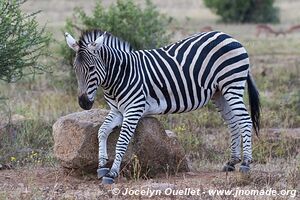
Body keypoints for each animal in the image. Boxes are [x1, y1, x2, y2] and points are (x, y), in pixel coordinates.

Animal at [64, 29, 258, 184]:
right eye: (75, 68)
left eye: (91, 68)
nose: (84, 103)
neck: (120, 76)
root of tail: (228, 36)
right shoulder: (117, 111)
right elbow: (102, 131)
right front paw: (102, 165)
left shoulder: (133, 109)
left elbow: (121, 142)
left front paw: (112, 173)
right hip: (219, 93)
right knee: (233, 123)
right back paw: (232, 162)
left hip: (232, 84)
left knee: (245, 120)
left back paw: (246, 163)